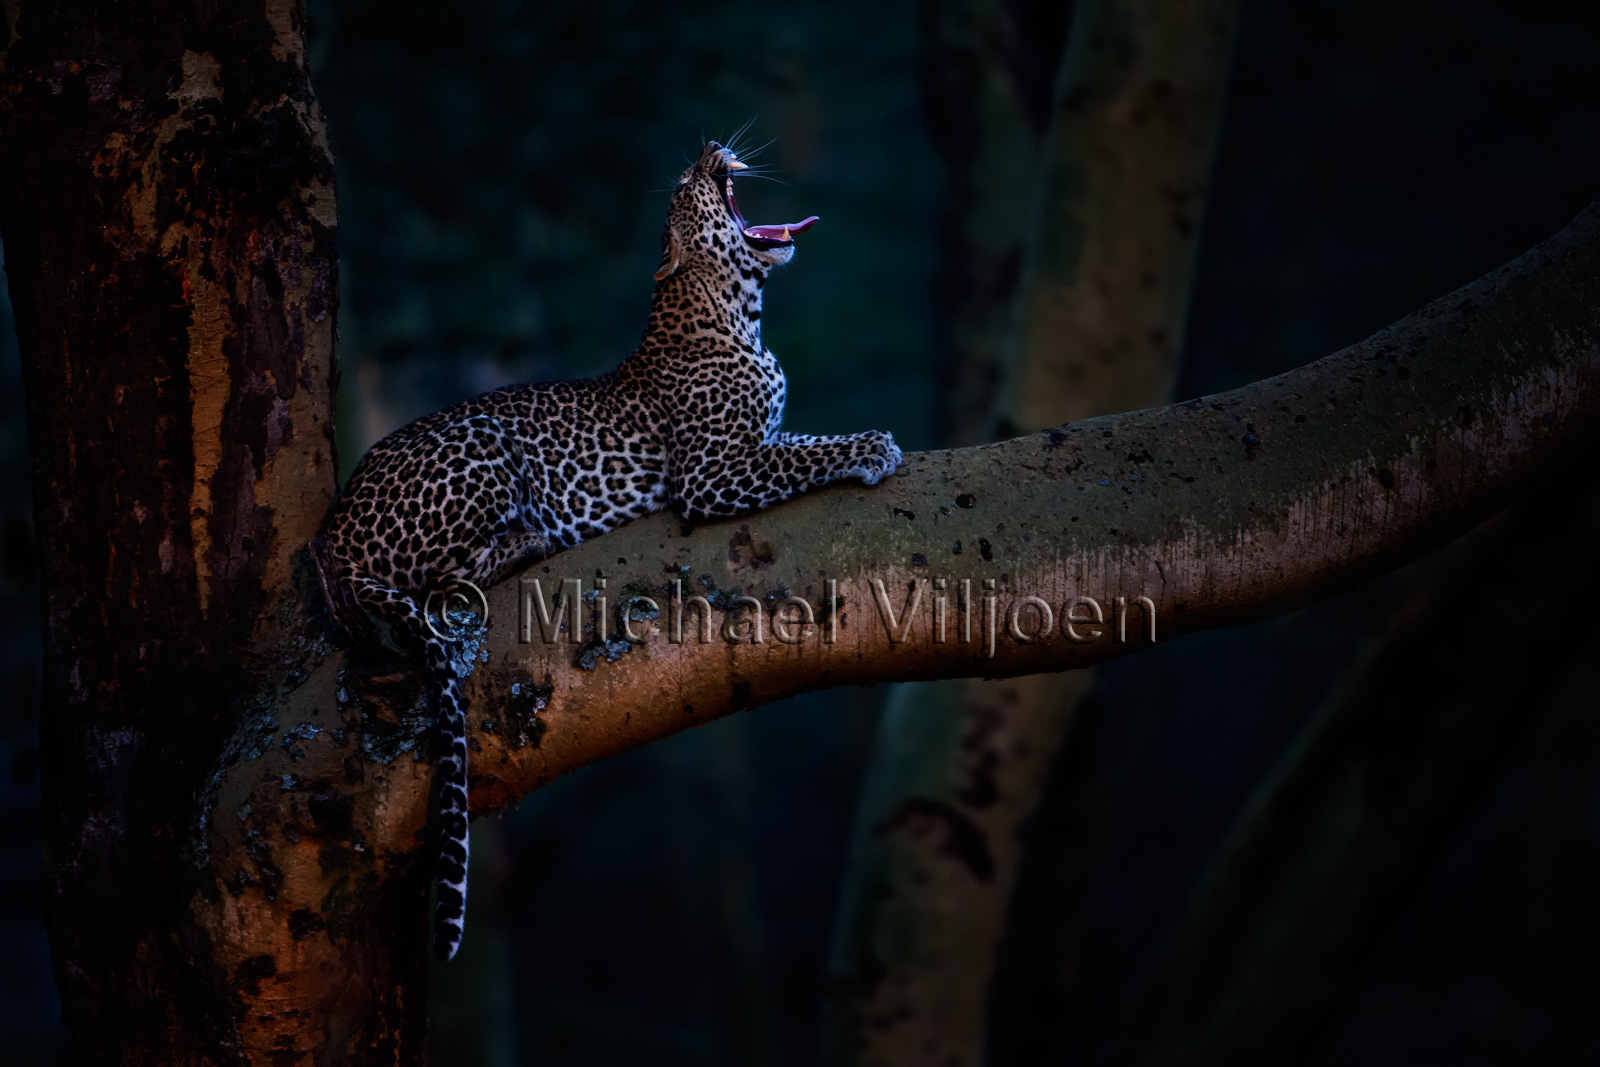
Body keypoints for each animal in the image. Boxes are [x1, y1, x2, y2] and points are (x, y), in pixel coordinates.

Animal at [309, 138, 903, 961]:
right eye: (687, 187)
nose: (709, 147)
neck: (738, 313)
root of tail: (331, 535)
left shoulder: (758, 444)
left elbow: (804, 441)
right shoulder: (713, 474)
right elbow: (807, 457)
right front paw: (874, 446)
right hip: (480, 443)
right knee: (443, 581)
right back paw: (529, 538)